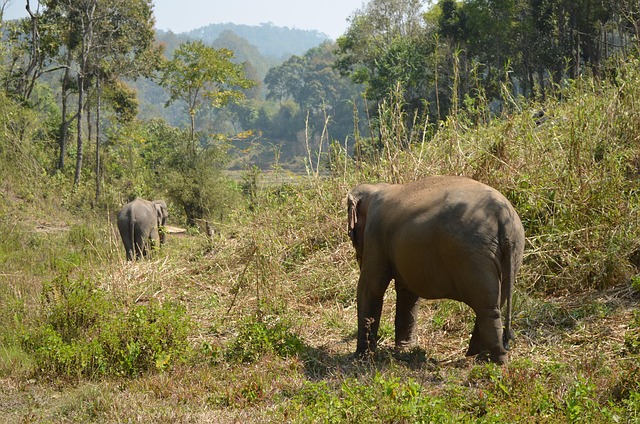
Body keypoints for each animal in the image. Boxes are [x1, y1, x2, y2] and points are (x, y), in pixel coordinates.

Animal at [347, 176, 525, 364]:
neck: (376, 187)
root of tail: (501, 215)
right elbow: (407, 291)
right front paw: (404, 349)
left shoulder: (375, 233)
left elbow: (371, 289)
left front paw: (360, 358)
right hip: (512, 251)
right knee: (496, 303)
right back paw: (482, 356)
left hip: (474, 255)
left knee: (486, 307)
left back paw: (495, 360)